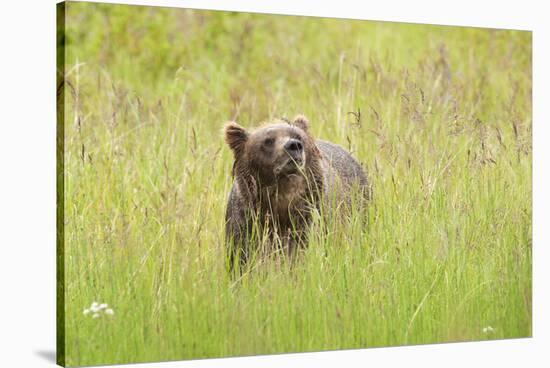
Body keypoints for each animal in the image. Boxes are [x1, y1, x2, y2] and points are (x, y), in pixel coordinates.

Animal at [223, 115, 370, 274]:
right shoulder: (247, 222)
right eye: (268, 140)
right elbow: (242, 258)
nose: (294, 145)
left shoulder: (309, 217)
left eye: (298, 136)